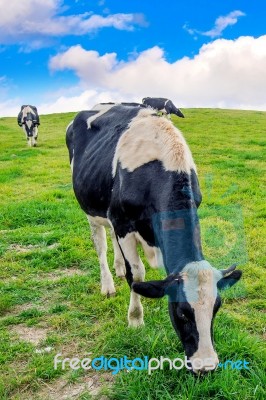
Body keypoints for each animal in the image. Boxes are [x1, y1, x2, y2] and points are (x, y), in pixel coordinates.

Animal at [66, 102, 241, 376]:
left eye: (216, 308)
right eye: (181, 313)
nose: (206, 367)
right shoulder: (123, 223)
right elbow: (137, 275)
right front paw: (135, 320)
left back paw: (118, 268)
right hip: (91, 210)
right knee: (101, 245)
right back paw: (108, 284)